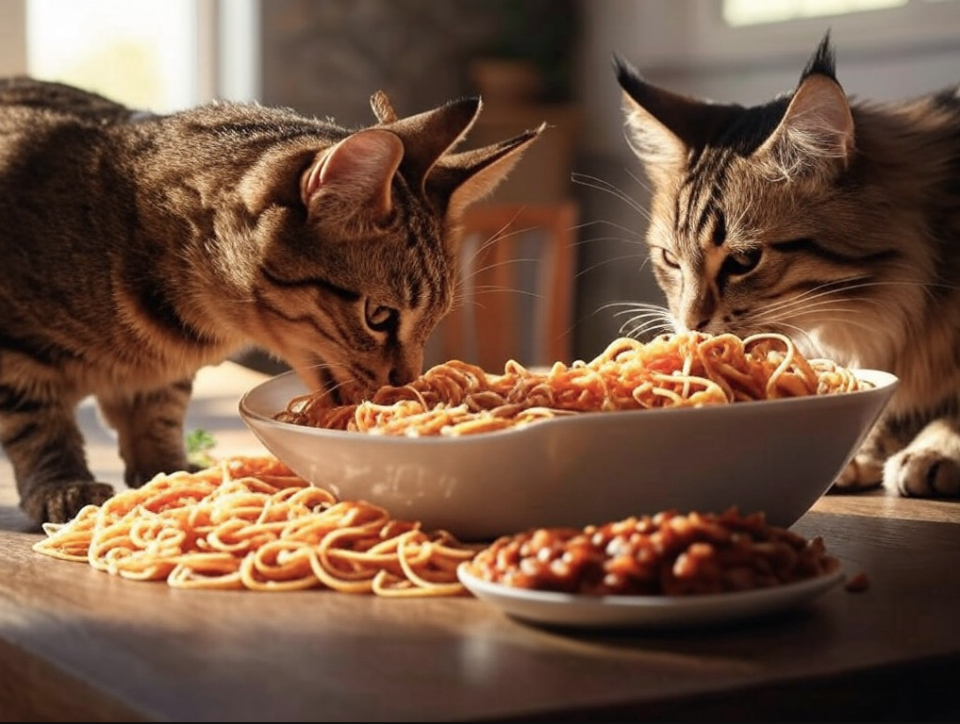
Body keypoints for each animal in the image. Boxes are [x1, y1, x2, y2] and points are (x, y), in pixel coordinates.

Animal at [0, 76, 540, 524]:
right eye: (379, 316)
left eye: (435, 319)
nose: (405, 384)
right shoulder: (16, 351)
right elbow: (38, 423)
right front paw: (63, 485)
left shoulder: (160, 381)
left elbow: (158, 414)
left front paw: (169, 472)